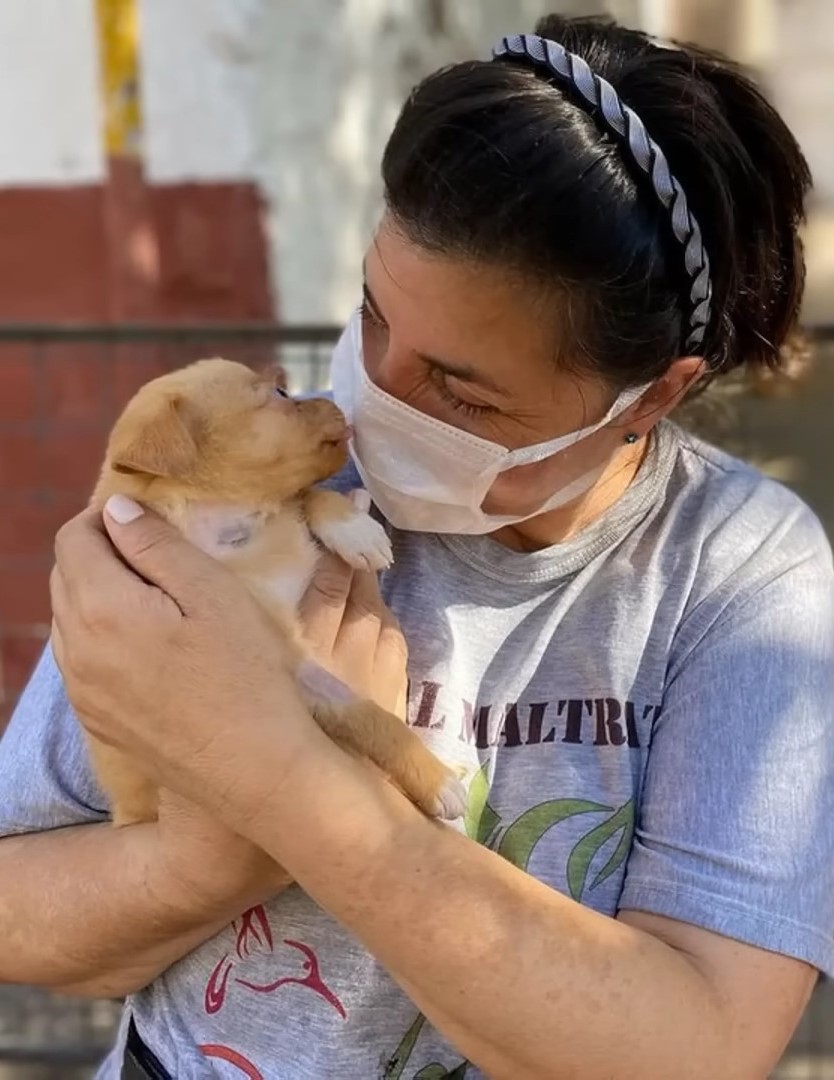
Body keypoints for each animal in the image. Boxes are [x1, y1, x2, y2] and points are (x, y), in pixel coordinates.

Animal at [86, 360, 466, 825]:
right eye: (281, 394)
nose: (335, 402)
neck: (234, 524)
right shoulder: (290, 669)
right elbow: (369, 716)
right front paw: (438, 782)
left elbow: (306, 495)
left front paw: (354, 529)